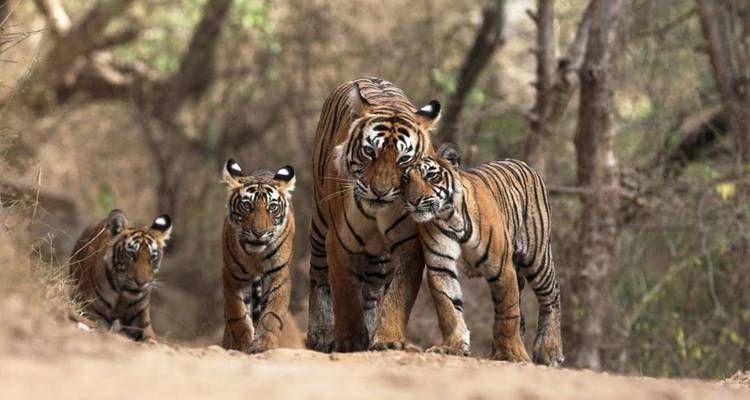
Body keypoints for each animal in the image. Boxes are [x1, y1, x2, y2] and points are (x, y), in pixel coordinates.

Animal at [68, 209, 172, 342]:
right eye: (131, 254)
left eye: (153, 257)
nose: (141, 282)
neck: (122, 296)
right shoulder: (94, 313)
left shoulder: (141, 320)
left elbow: (150, 340)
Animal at [221, 158, 296, 354]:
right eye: (247, 205)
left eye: (272, 207)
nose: (259, 233)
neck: (256, 256)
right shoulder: (232, 276)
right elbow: (237, 315)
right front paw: (241, 345)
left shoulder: (279, 275)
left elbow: (272, 313)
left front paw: (264, 344)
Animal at [307, 77, 441, 352]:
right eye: (370, 152)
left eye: (403, 160)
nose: (380, 192)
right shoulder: (338, 241)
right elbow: (345, 292)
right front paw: (347, 340)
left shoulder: (410, 246)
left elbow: (399, 295)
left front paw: (387, 339)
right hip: (319, 225)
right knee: (319, 275)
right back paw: (322, 333)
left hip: (379, 260)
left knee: (372, 291)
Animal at [400, 143, 564, 366]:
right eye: (405, 179)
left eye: (431, 176)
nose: (413, 200)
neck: (449, 217)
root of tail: (521, 163)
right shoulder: (440, 265)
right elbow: (448, 307)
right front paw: (453, 347)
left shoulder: (501, 267)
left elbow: (507, 313)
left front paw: (513, 354)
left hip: (537, 258)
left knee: (551, 298)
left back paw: (549, 351)